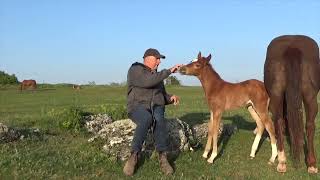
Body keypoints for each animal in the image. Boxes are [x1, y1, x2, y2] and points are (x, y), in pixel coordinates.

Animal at [264, 34, 318, 173]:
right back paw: (311, 164)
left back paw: (283, 161)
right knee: (309, 125)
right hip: (310, 96)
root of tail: (292, 47)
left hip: (277, 96)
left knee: (279, 122)